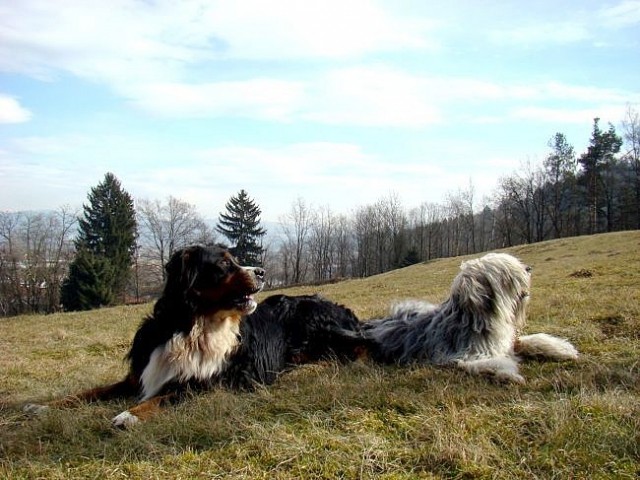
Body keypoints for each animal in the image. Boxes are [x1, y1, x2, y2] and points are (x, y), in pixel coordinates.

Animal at [23, 246, 360, 426]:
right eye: (224, 263)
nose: (262, 271)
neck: (192, 326)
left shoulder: (210, 383)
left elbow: (166, 395)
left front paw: (129, 415)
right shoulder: (139, 375)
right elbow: (89, 392)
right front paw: (44, 406)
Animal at [352, 251, 576, 382]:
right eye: (506, 274)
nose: (529, 268)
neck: (477, 320)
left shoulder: (506, 342)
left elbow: (529, 340)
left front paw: (563, 349)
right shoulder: (462, 356)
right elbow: (493, 363)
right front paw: (510, 374)